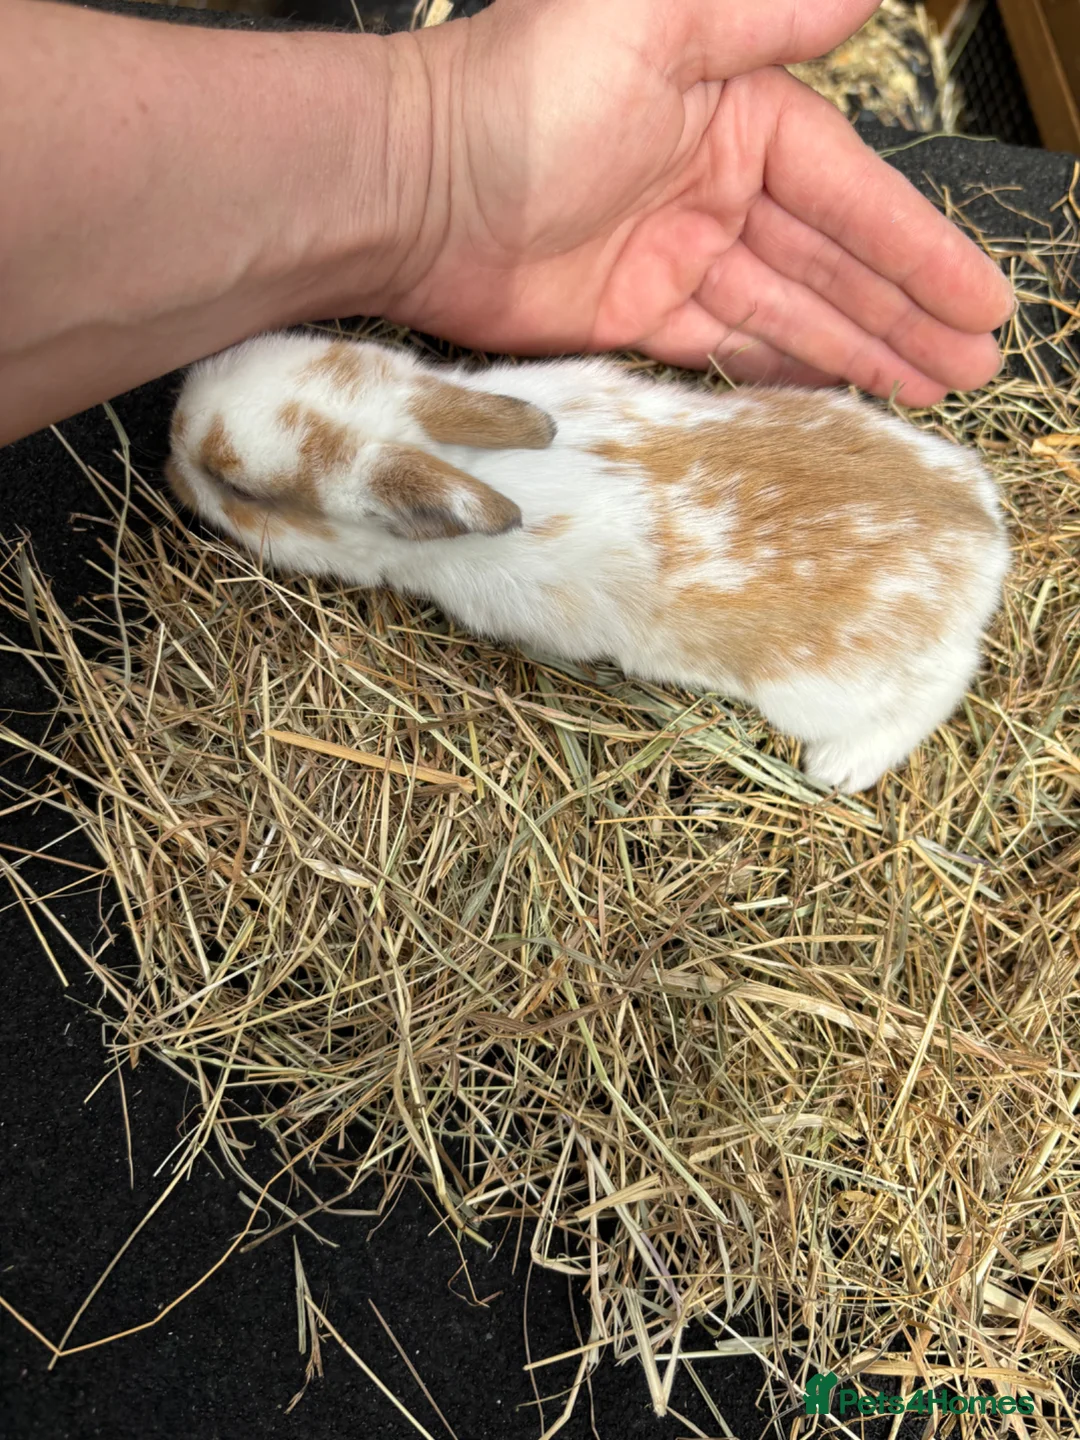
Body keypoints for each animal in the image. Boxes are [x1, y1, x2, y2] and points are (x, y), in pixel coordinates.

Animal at [165, 330, 1009, 793]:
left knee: (936, 694)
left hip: (830, 689)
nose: (170, 435)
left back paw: (838, 767)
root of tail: (983, 536)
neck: (458, 459)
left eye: (241, 489)